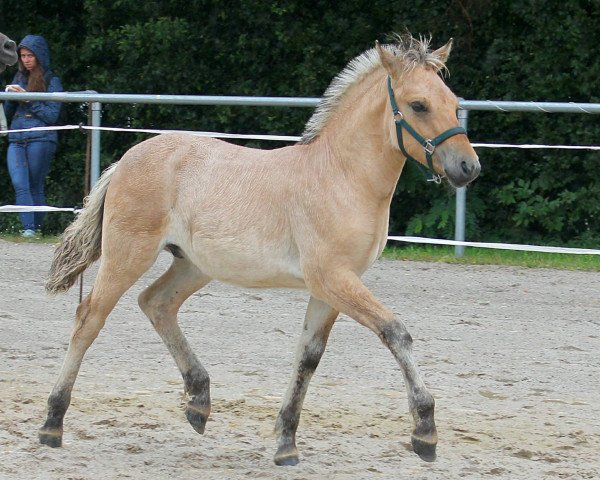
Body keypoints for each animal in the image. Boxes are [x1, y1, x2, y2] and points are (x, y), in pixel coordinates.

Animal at [38, 36, 478, 464]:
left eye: (452, 102)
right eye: (418, 105)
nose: (468, 167)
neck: (341, 176)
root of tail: (125, 161)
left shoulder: (330, 287)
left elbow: (308, 357)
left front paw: (286, 443)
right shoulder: (333, 278)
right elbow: (395, 333)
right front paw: (425, 431)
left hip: (193, 265)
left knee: (156, 302)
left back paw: (198, 402)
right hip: (128, 254)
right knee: (89, 318)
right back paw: (52, 424)